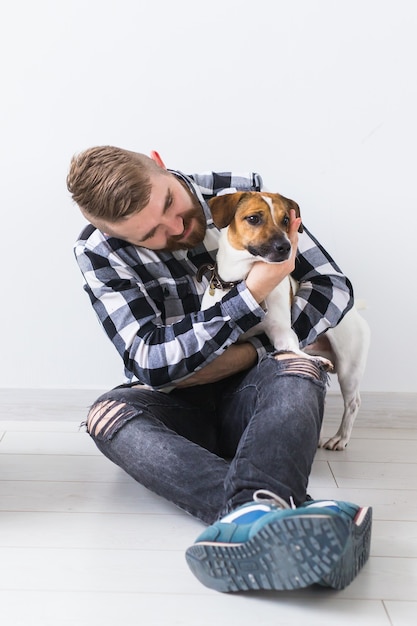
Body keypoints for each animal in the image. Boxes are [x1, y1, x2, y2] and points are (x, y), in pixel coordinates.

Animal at [199, 190, 370, 448]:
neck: (243, 281)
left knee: (353, 403)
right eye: (254, 218)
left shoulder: (281, 333)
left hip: (349, 368)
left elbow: (293, 348)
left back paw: (340, 438)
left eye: (286, 220)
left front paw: (315, 360)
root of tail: (354, 308)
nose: (286, 246)